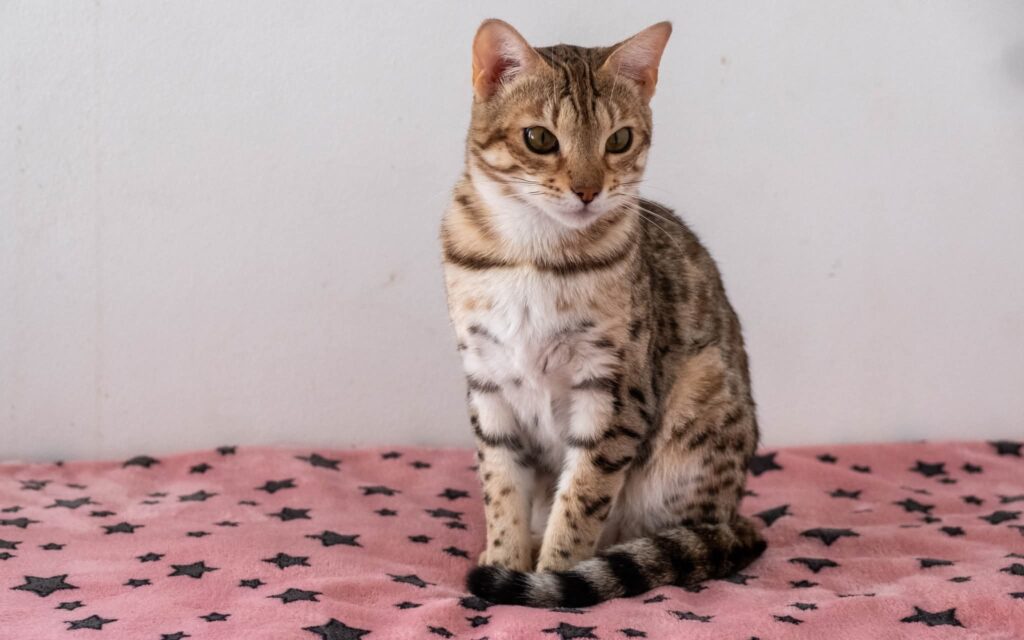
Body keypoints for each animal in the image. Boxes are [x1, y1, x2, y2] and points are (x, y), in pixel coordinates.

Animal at [440, 19, 765, 607]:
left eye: (619, 140)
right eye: (540, 138)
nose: (588, 190)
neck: (534, 255)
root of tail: (735, 516)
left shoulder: (613, 391)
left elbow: (581, 500)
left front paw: (549, 577)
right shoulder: (487, 382)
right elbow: (501, 491)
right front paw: (505, 561)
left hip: (698, 410)